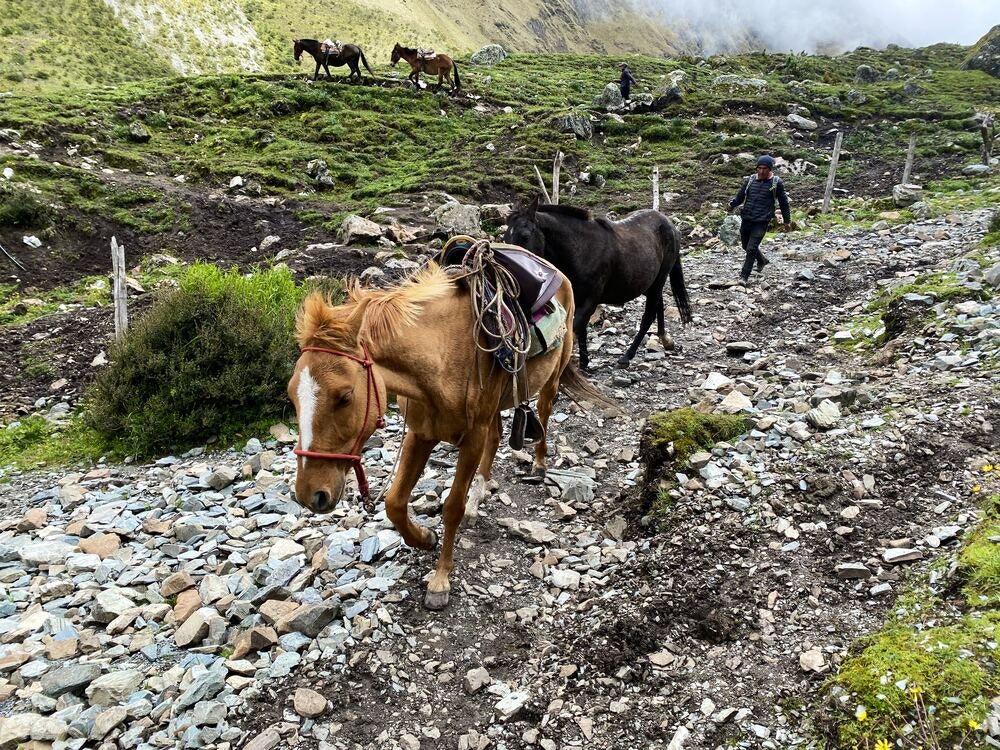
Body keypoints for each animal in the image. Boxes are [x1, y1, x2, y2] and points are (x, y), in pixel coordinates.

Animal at [287, 262, 606, 610]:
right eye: (291, 397)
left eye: (344, 397)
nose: (310, 495)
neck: (441, 359)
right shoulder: (421, 434)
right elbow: (394, 503)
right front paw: (425, 539)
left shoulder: (472, 439)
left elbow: (451, 507)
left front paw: (440, 579)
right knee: (496, 436)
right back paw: (477, 500)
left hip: (551, 378)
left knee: (544, 414)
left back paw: (538, 464)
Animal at [504, 196, 693, 371]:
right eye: (505, 238)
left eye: (525, 236)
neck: (580, 250)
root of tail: (668, 223)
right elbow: (582, 331)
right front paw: (584, 363)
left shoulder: (590, 302)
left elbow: (575, 330)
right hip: (649, 283)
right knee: (658, 305)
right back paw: (665, 339)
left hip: (659, 280)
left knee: (649, 315)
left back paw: (627, 356)